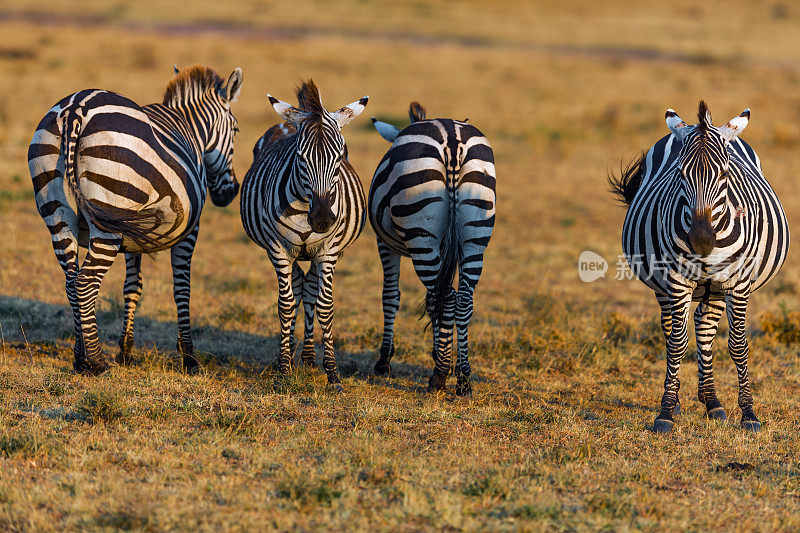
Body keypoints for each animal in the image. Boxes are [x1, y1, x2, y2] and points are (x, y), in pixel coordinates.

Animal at [27, 65, 244, 374]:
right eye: (236, 130)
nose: (230, 192)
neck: (190, 129)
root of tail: (75, 108)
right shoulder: (189, 231)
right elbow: (182, 288)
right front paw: (189, 356)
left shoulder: (133, 233)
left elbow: (132, 286)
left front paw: (126, 350)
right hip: (109, 215)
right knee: (85, 282)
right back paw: (95, 361)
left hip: (60, 214)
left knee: (71, 282)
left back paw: (80, 357)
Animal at [241, 79, 368, 388]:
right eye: (300, 158)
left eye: (339, 156)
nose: (322, 218)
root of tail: (289, 121)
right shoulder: (278, 249)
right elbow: (285, 305)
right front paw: (284, 367)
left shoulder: (329, 251)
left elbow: (325, 305)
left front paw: (332, 371)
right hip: (287, 252)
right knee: (298, 287)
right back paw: (289, 356)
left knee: (308, 289)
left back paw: (309, 357)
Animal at [372, 101, 496, 394]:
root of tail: (452, 140)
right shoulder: (449, 248)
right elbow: (433, 300)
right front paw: (442, 355)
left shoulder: (385, 244)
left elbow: (390, 297)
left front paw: (384, 361)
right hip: (474, 235)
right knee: (462, 299)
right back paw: (463, 379)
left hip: (421, 237)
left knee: (448, 297)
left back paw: (438, 377)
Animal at [612, 100, 788, 432]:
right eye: (680, 173)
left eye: (725, 174)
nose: (701, 240)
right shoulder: (677, 281)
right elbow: (677, 344)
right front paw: (666, 411)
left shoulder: (737, 283)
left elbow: (737, 345)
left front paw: (748, 413)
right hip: (664, 287)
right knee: (671, 330)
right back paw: (688, 400)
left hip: (715, 288)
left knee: (705, 328)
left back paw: (713, 402)